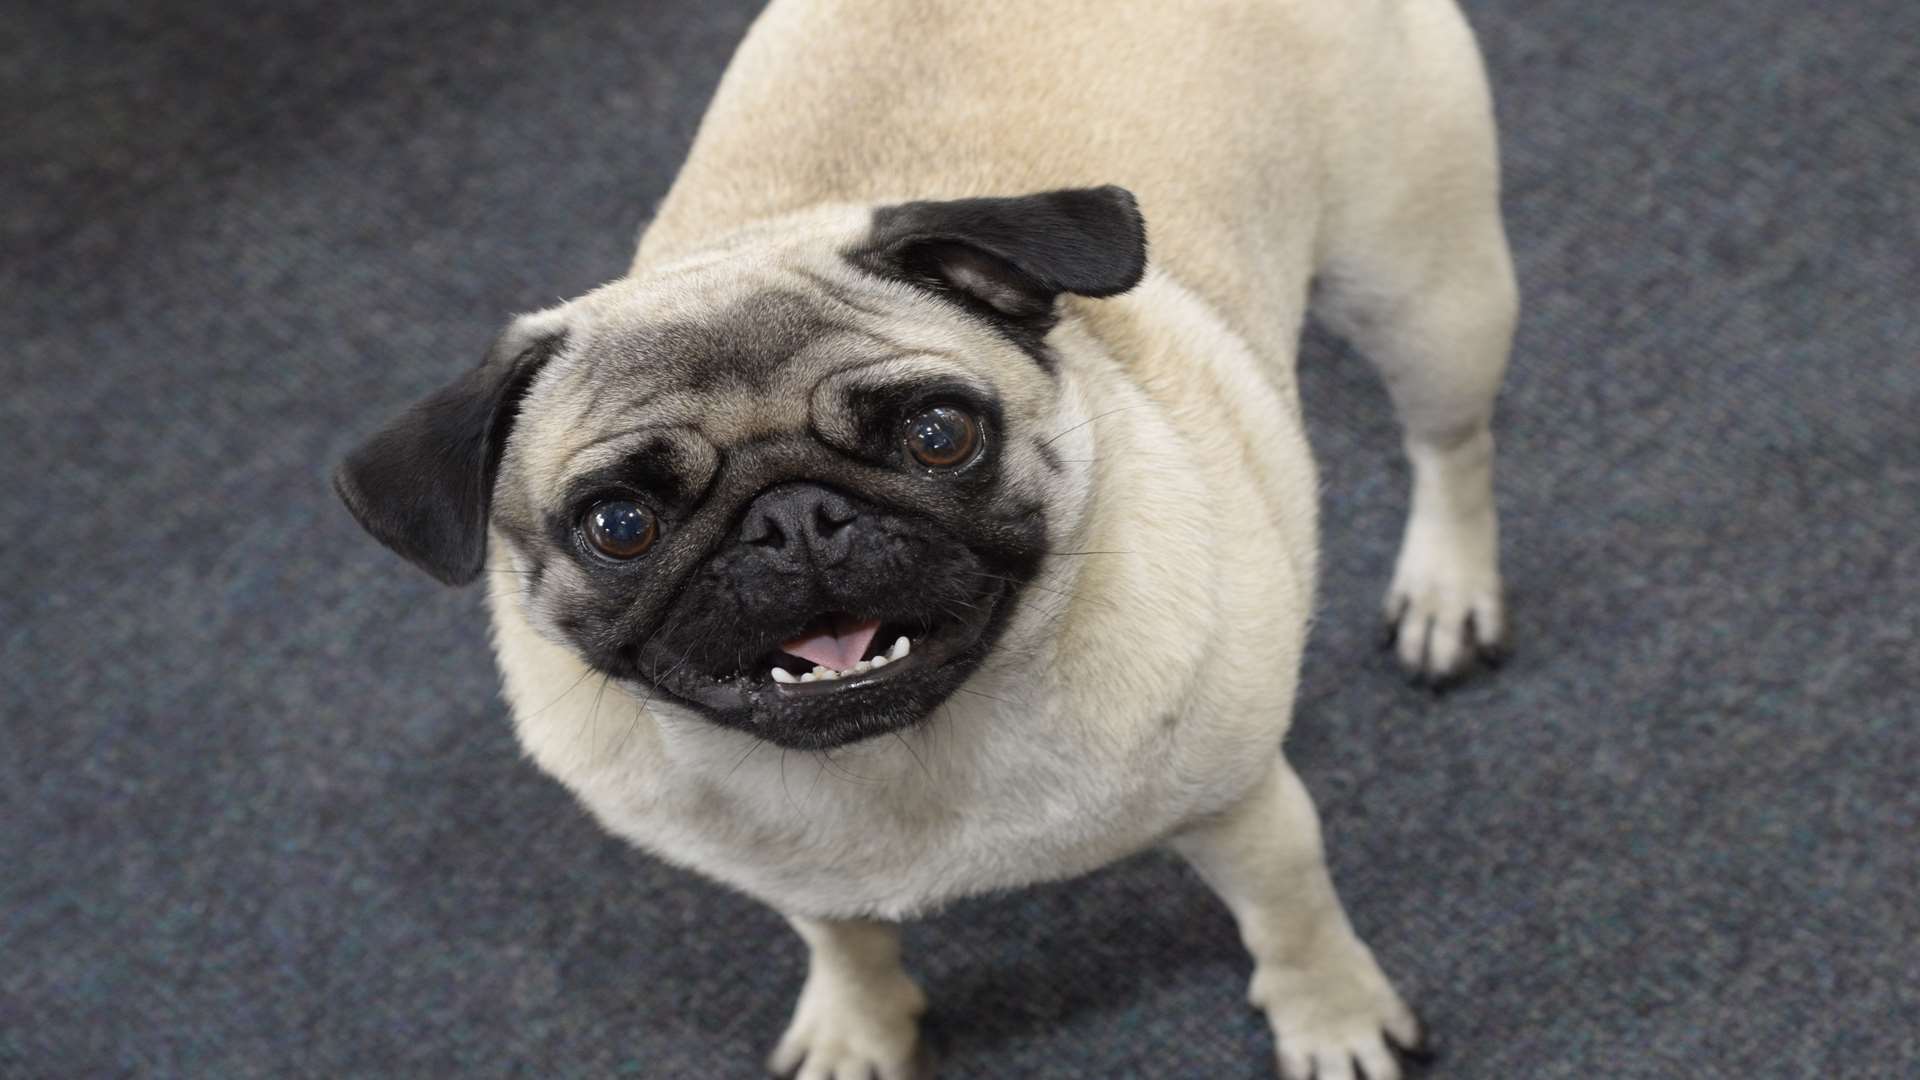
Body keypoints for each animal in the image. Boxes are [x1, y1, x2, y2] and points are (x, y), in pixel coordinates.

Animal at [337, 4, 1520, 1068]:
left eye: (939, 434)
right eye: (620, 524)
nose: (791, 518)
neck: (900, 762)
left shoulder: (1244, 806)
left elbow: (1293, 921)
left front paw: (1333, 1021)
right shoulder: (794, 874)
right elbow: (844, 941)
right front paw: (858, 1030)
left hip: (1425, 295)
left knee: (1450, 447)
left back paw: (1446, 593)